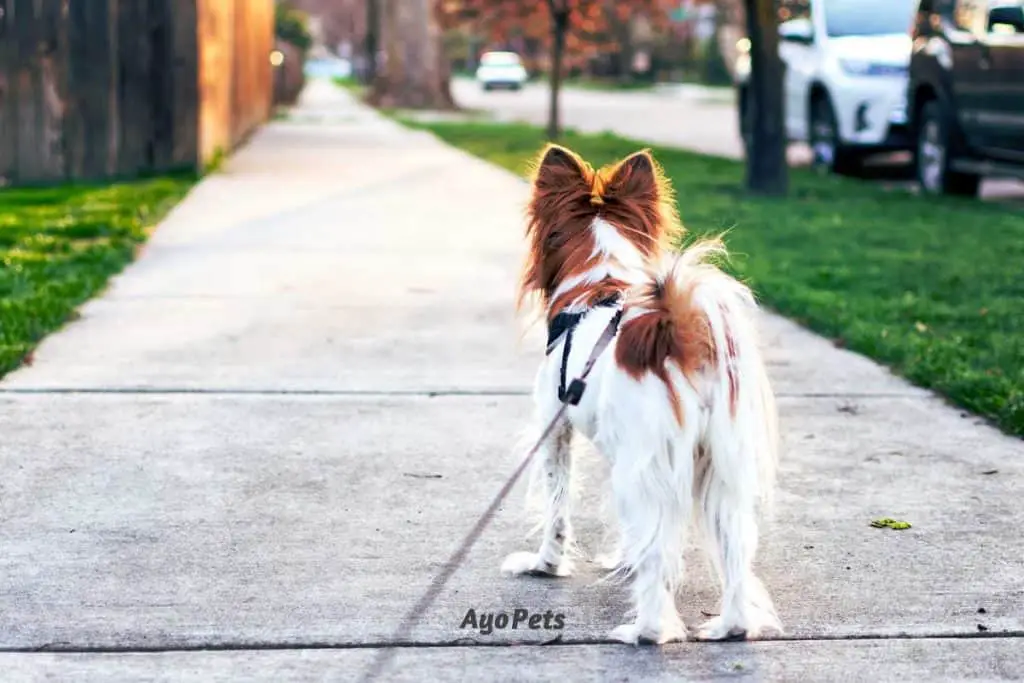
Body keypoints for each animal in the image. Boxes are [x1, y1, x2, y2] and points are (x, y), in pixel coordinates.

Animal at [499, 144, 778, 647]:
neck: (599, 282)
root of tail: (678, 332)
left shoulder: (556, 430)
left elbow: (557, 508)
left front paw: (545, 565)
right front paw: (620, 560)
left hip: (648, 466)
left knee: (658, 558)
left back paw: (644, 631)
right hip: (719, 468)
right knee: (734, 550)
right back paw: (730, 626)